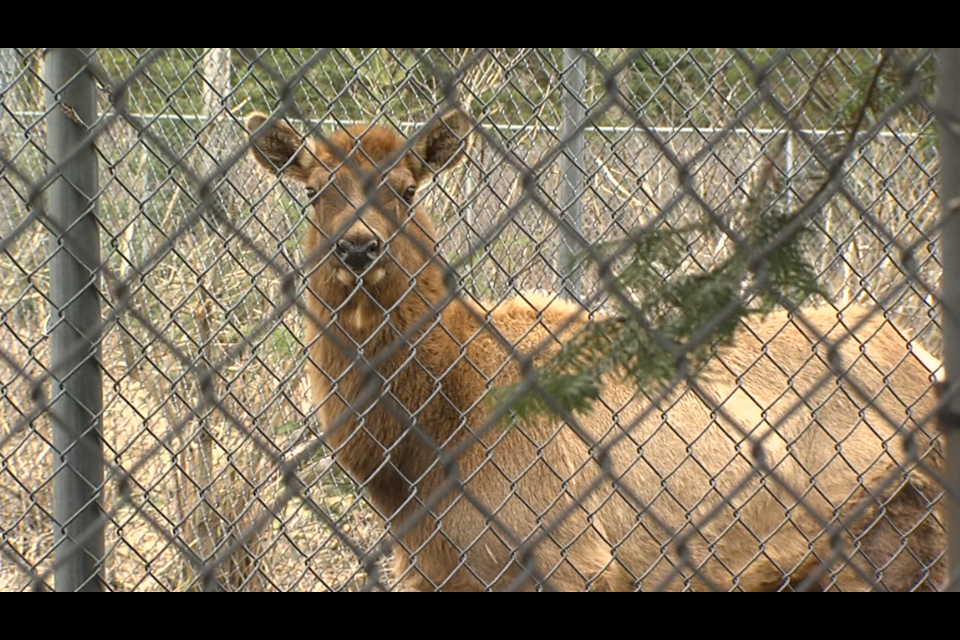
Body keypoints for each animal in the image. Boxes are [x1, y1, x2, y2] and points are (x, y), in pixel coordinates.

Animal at [246, 109, 944, 592]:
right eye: (313, 190)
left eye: (406, 189)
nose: (359, 247)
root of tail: (930, 364)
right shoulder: (432, 570)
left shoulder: (574, 557)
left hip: (882, 536)